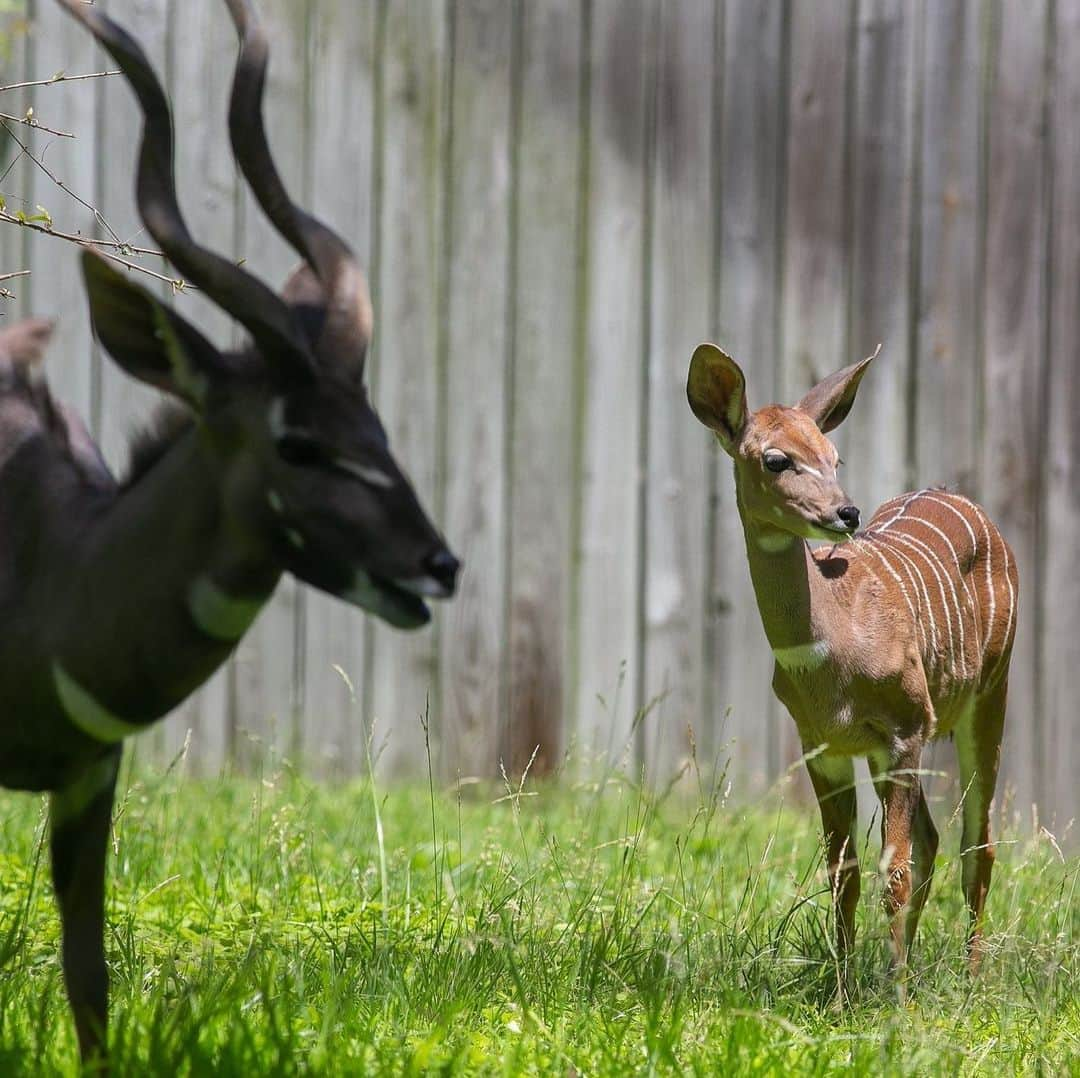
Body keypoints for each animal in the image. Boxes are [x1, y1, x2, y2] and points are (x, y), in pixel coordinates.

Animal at [0, 0, 460, 1062]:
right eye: (298, 442)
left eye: (377, 427)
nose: (440, 563)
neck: (48, 563)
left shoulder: (89, 777)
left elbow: (91, 984)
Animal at [686, 343, 1015, 980]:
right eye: (776, 459)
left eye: (834, 456)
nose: (846, 512)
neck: (830, 644)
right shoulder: (826, 746)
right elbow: (845, 875)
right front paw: (845, 989)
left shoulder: (906, 726)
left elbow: (894, 870)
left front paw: (899, 996)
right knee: (935, 840)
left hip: (990, 694)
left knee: (977, 840)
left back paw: (970, 978)